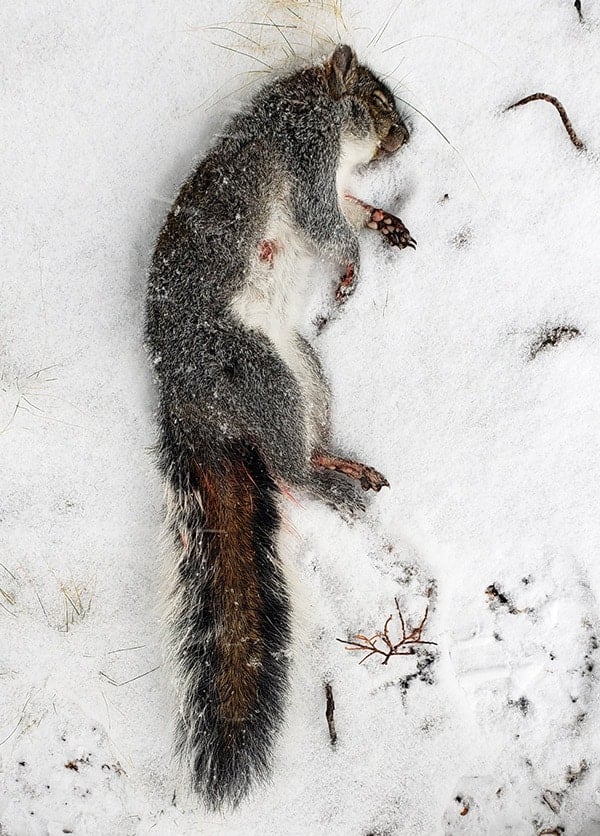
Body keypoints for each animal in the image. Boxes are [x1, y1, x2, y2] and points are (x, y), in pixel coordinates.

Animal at [148, 44, 414, 808]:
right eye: (375, 102)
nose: (406, 137)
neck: (302, 104)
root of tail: (187, 400)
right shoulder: (306, 157)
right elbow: (326, 222)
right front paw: (355, 254)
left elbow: (348, 210)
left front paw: (381, 219)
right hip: (261, 373)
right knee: (287, 470)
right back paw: (336, 484)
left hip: (300, 368)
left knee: (299, 453)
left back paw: (340, 462)